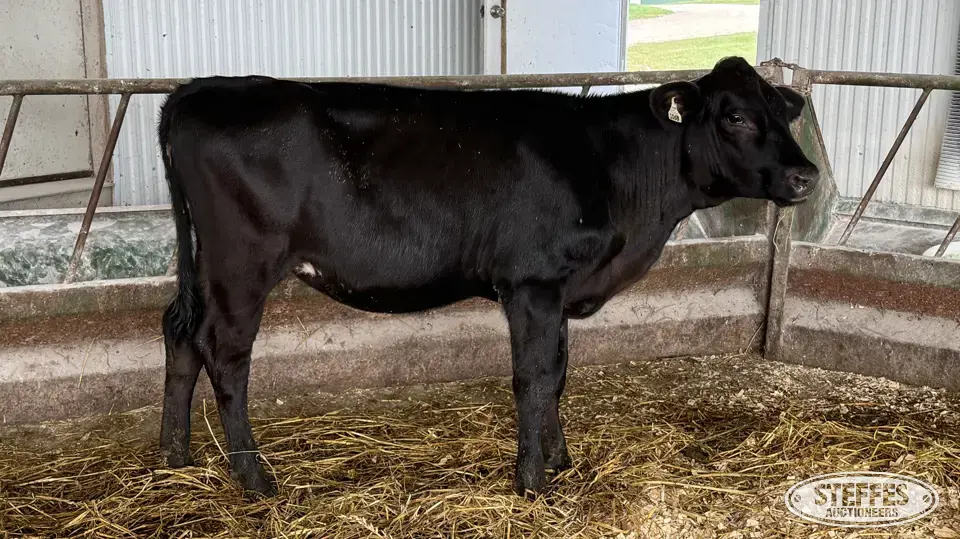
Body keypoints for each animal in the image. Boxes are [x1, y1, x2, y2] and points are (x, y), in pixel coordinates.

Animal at [156, 56, 819, 499]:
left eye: (782, 113)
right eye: (734, 116)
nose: (806, 176)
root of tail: (195, 91)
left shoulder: (559, 288)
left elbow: (558, 375)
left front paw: (560, 460)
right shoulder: (532, 283)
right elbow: (533, 379)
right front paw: (532, 484)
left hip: (206, 265)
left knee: (180, 332)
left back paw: (174, 455)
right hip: (242, 262)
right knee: (225, 352)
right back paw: (254, 478)